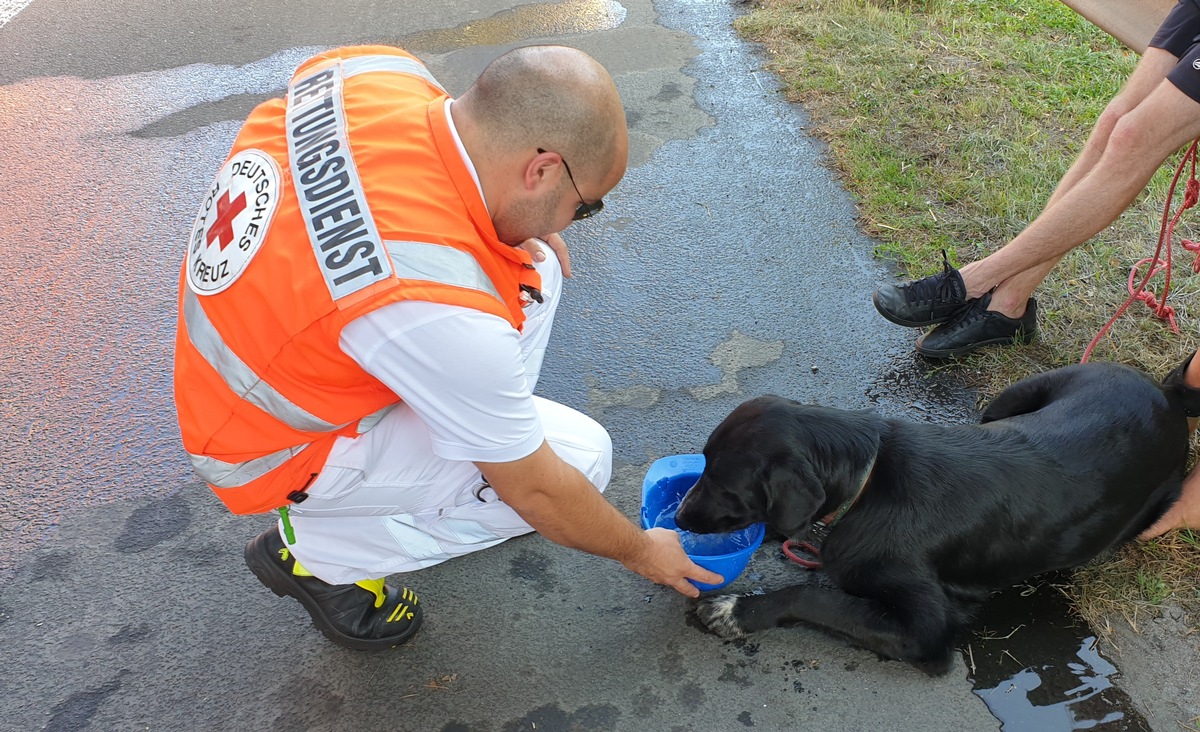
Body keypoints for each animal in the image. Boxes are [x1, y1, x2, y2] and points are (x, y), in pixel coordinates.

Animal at [676, 360, 1190, 672]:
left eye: (723, 485)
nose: (679, 517)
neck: (868, 481)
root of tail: (1166, 395)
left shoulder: (925, 631)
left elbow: (812, 596)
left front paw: (736, 610)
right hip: (1011, 398)